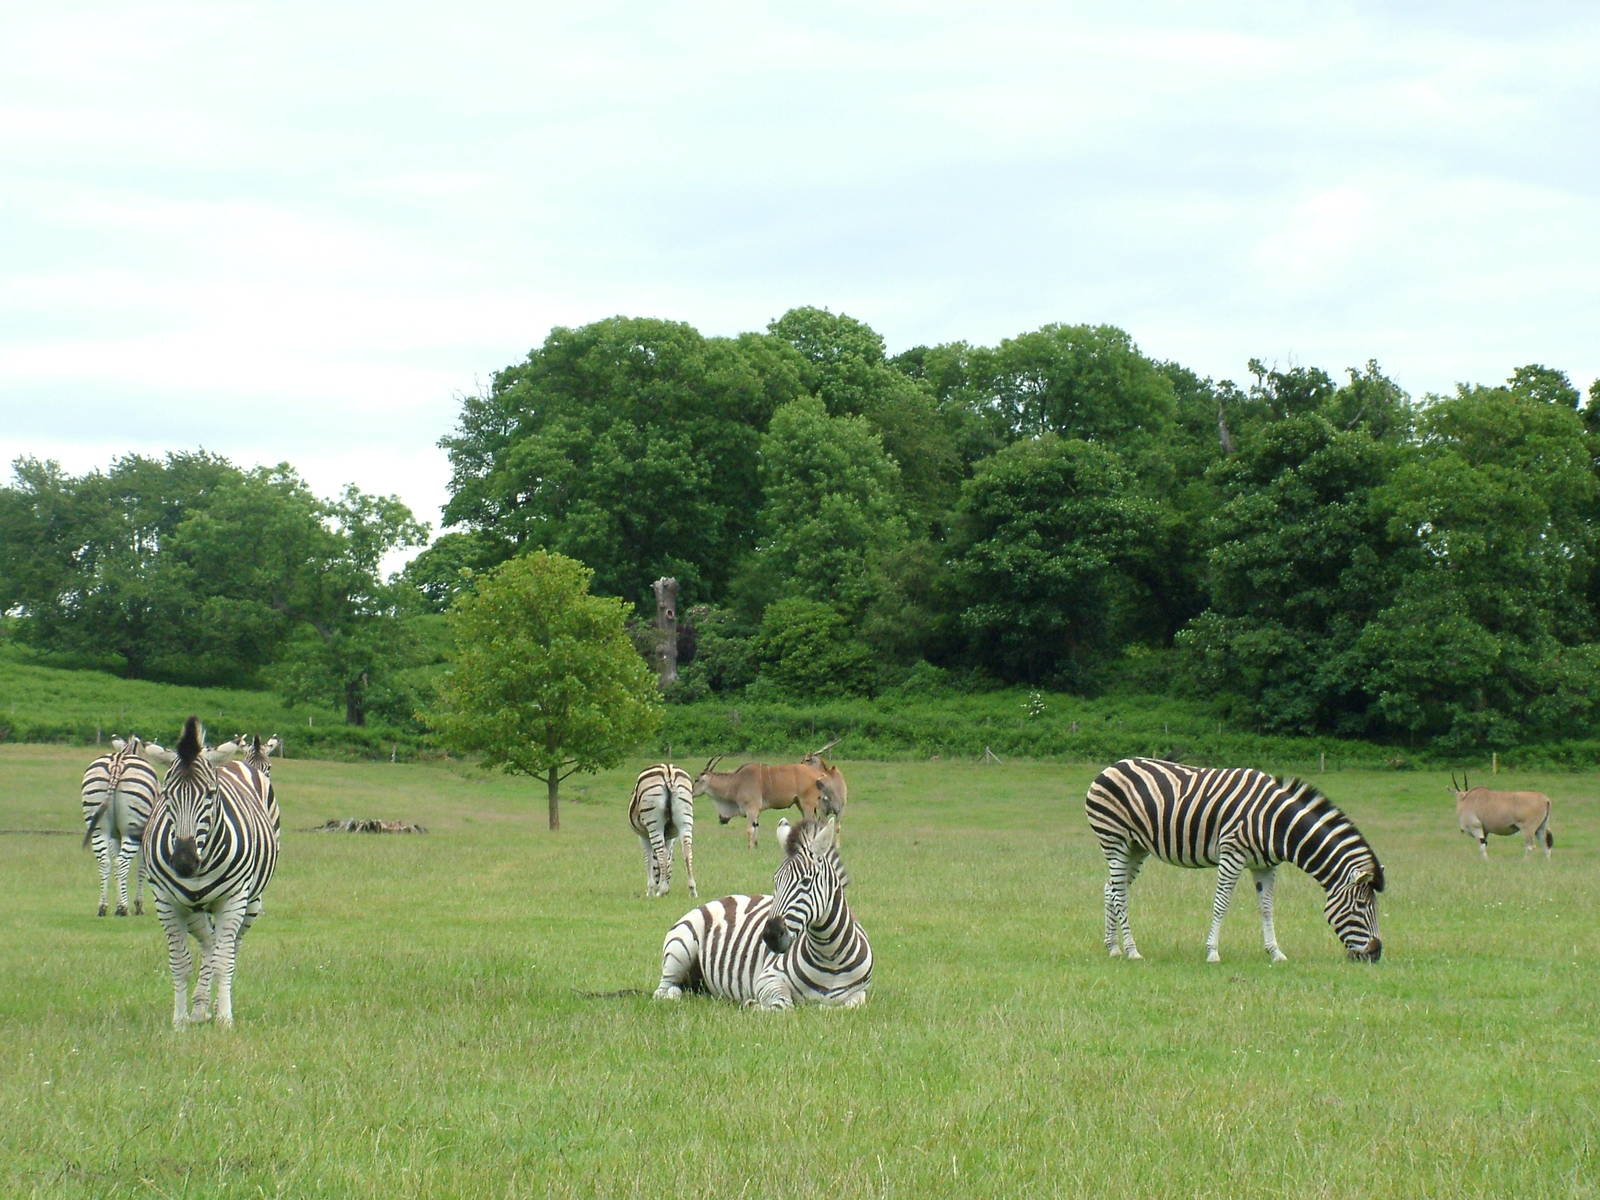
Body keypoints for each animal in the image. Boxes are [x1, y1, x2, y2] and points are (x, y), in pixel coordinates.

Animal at [80, 736, 161, 916]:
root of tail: (117, 762)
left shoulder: (115, 837)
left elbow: (116, 864)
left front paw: (118, 902)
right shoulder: (145, 837)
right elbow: (141, 868)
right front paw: (138, 905)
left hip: (98, 827)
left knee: (106, 862)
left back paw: (103, 907)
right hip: (133, 829)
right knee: (123, 862)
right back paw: (123, 909)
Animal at [144, 716, 280, 1028]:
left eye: (210, 794)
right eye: (166, 795)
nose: (184, 862)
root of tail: (236, 763)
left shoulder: (233, 900)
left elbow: (223, 960)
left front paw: (224, 1019)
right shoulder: (166, 902)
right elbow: (180, 962)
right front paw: (180, 1020)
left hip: (251, 902)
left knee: (228, 948)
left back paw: (214, 1005)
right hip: (194, 908)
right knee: (209, 943)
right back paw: (199, 1007)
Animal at [628, 762, 696, 898]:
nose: (669, 892)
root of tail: (668, 770)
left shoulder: (643, 836)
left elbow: (649, 859)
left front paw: (650, 891)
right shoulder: (670, 837)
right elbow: (668, 858)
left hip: (654, 822)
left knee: (661, 853)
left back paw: (661, 890)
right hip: (685, 820)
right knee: (687, 852)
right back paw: (692, 890)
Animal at [654, 816, 872, 1009]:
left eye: (806, 882)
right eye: (776, 881)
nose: (770, 935)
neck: (830, 957)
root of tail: (721, 898)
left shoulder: (860, 994)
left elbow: (843, 1006)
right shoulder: (768, 978)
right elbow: (783, 1006)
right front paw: (753, 1004)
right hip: (679, 949)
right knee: (664, 991)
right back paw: (674, 993)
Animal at [1085, 757, 1385, 963]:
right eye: (1362, 905)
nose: (1376, 953)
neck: (1277, 823)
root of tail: (1111, 767)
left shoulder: (1265, 865)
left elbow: (1267, 908)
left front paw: (1275, 952)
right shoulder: (1232, 853)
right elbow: (1222, 903)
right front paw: (1212, 952)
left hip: (1137, 847)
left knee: (1111, 889)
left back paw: (1113, 947)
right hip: (1115, 840)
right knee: (1119, 894)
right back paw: (1132, 950)